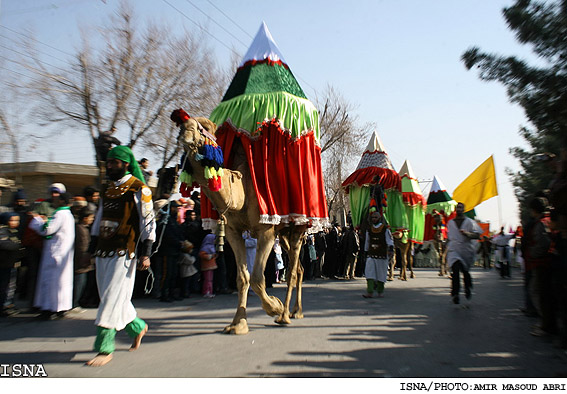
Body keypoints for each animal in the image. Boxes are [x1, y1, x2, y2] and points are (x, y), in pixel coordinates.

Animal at [175, 115, 308, 334]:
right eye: (181, 127)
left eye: (201, 128)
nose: (185, 133)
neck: (241, 191)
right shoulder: (232, 231)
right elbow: (242, 278)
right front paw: (237, 324)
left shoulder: (266, 231)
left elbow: (257, 278)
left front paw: (275, 306)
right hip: (284, 235)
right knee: (299, 269)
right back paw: (296, 311)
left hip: (297, 228)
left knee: (291, 272)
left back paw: (285, 315)